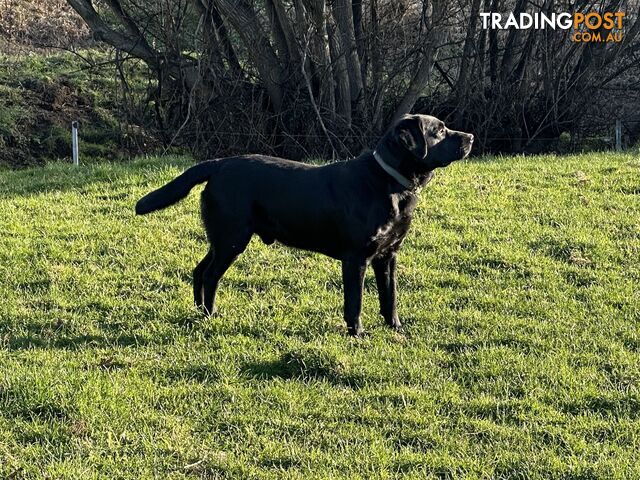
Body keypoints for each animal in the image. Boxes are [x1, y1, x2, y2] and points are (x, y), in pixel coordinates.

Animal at [136, 114, 476, 336]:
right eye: (439, 131)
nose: (471, 137)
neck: (388, 182)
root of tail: (219, 164)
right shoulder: (356, 258)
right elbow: (355, 302)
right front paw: (357, 334)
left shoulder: (388, 255)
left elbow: (389, 297)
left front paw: (396, 329)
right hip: (232, 238)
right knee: (209, 275)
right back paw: (210, 314)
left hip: (222, 238)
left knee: (198, 270)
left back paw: (199, 312)